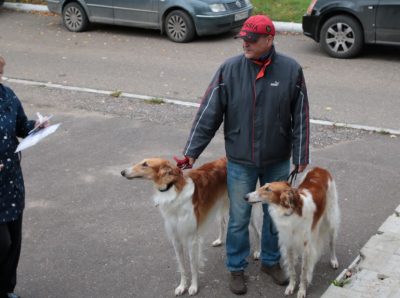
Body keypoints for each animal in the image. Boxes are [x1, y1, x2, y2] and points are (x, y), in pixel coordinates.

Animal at [120, 158, 260, 296]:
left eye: (145, 164)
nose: (122, 172)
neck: (173, 191)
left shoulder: (191, 238)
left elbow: (193, 266)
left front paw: (193, 287)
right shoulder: (175, 239)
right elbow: (182, 267)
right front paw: (182, 286)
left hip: (247, 211)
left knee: (258, 231)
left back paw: (258, 252)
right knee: (223, 222)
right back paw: (219, 240)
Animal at [245, 168, 340, 298]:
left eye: (268, 189)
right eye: (263, 186)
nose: (245, 196)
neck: (290, 212)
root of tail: (320, 169)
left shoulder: (306, 247)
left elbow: (304, 272)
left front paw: (302, 291)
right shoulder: (288, 242)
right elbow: (292, 270)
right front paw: (291, 287)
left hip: (331, 219)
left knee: (332, 243)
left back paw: (334, 260)